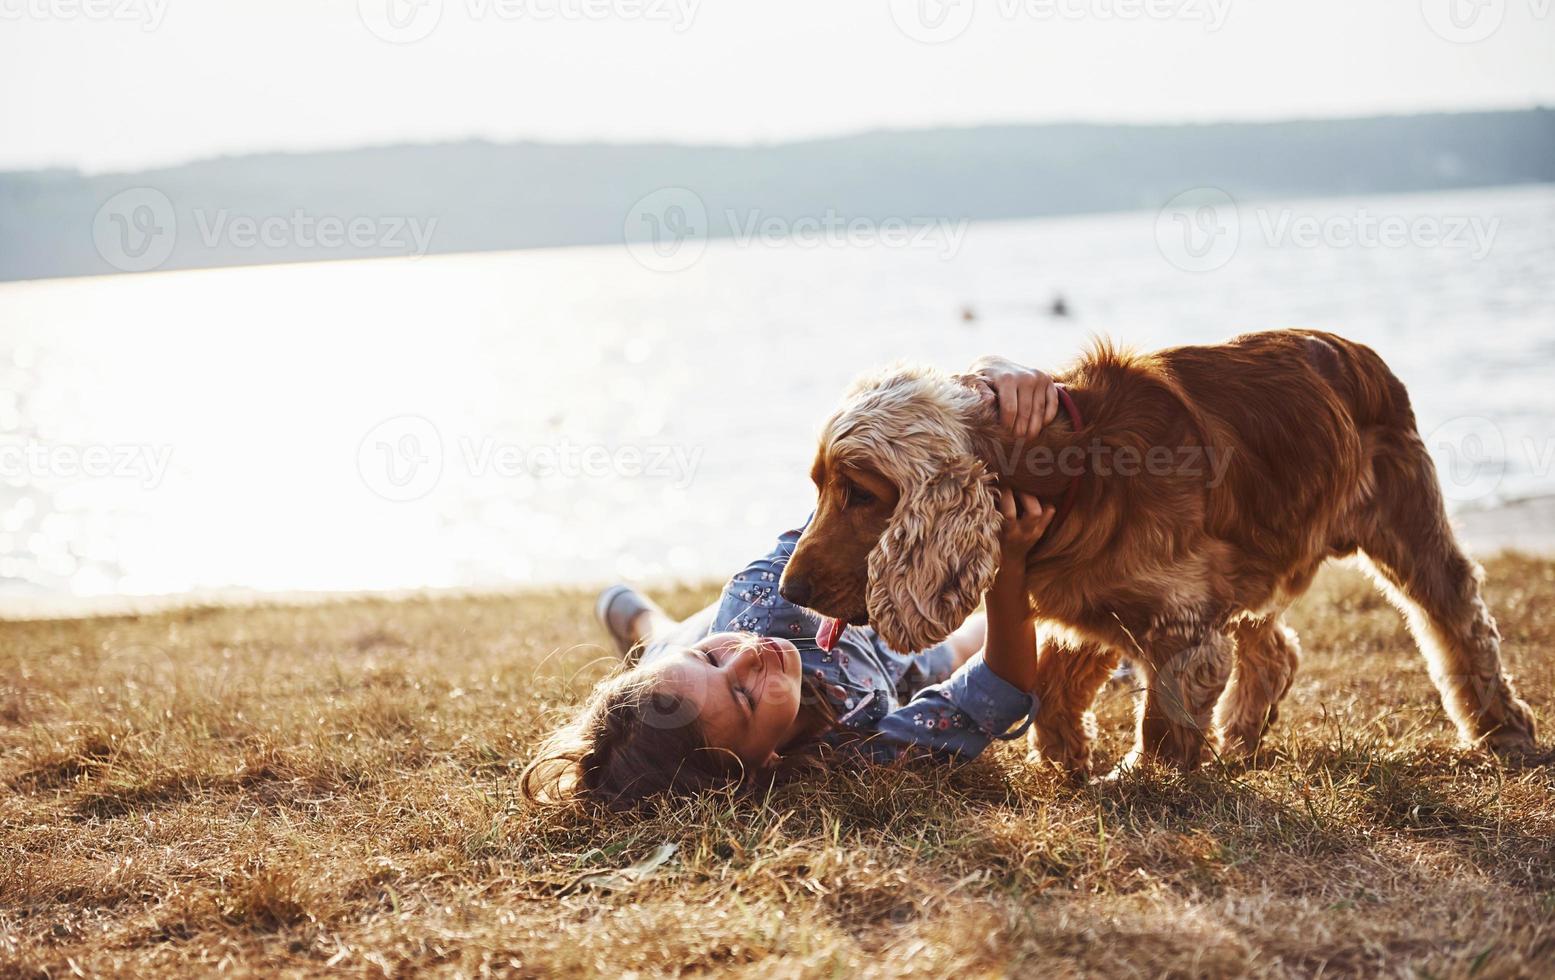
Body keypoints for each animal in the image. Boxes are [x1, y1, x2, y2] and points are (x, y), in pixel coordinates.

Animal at [783, 329, 1536, 774]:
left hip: (1406, 529)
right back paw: (1242, 733)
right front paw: (1063, 761)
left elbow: (1162, 716)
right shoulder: (1094, 607)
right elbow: (1053, 685)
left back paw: (1501, 729)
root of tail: (1359, 352)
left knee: (1459, 618)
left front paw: (1139, 779)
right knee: (1274, 646)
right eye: (818, 486)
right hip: (1255, 558)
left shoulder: (1180, 622)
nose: (788, 591)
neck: (1073, 471)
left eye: (858, 493)